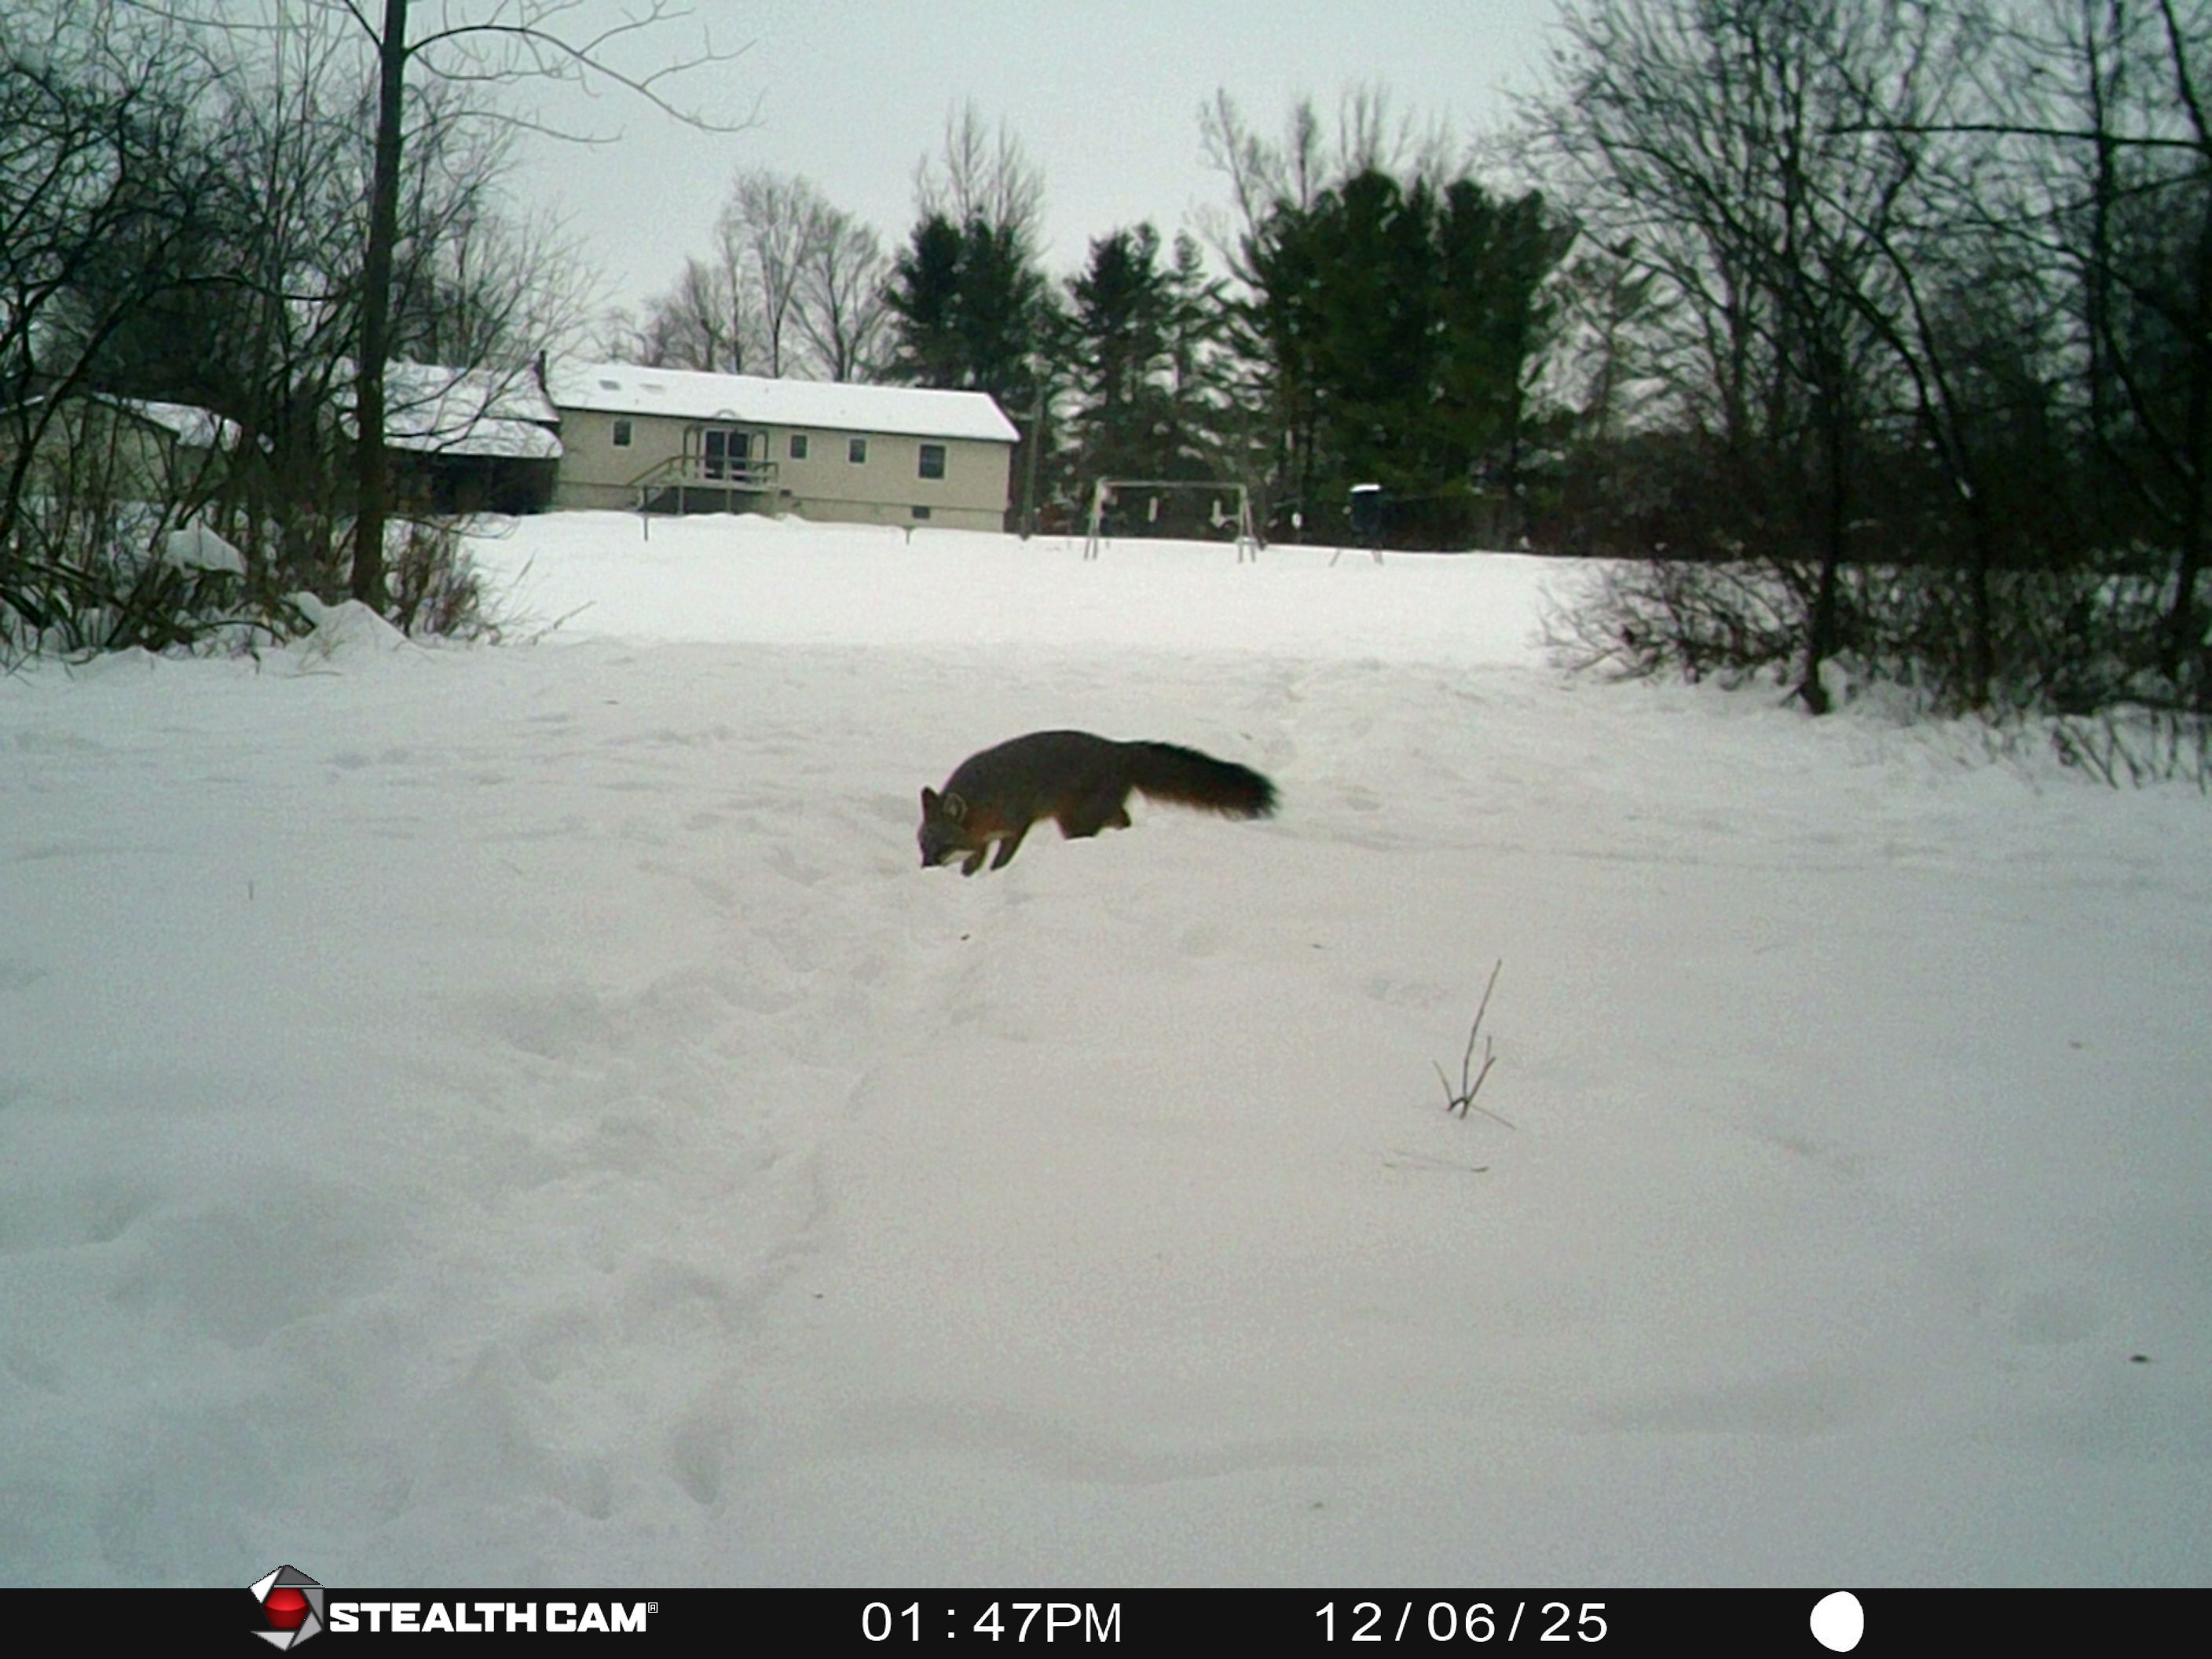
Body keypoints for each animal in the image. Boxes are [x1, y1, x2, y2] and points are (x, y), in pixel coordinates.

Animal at [918, 729, 1278, 875]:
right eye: (923, 844)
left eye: (943, 845)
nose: (926, 867)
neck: (985, 799)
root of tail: (1119, 747)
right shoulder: (982, 837)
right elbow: (974, 859)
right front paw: (968, 876)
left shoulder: (1018, 823)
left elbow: (1001, 859)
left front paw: (993, 874)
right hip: (1088, 815)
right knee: (1123, 819)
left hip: (1074, 822)